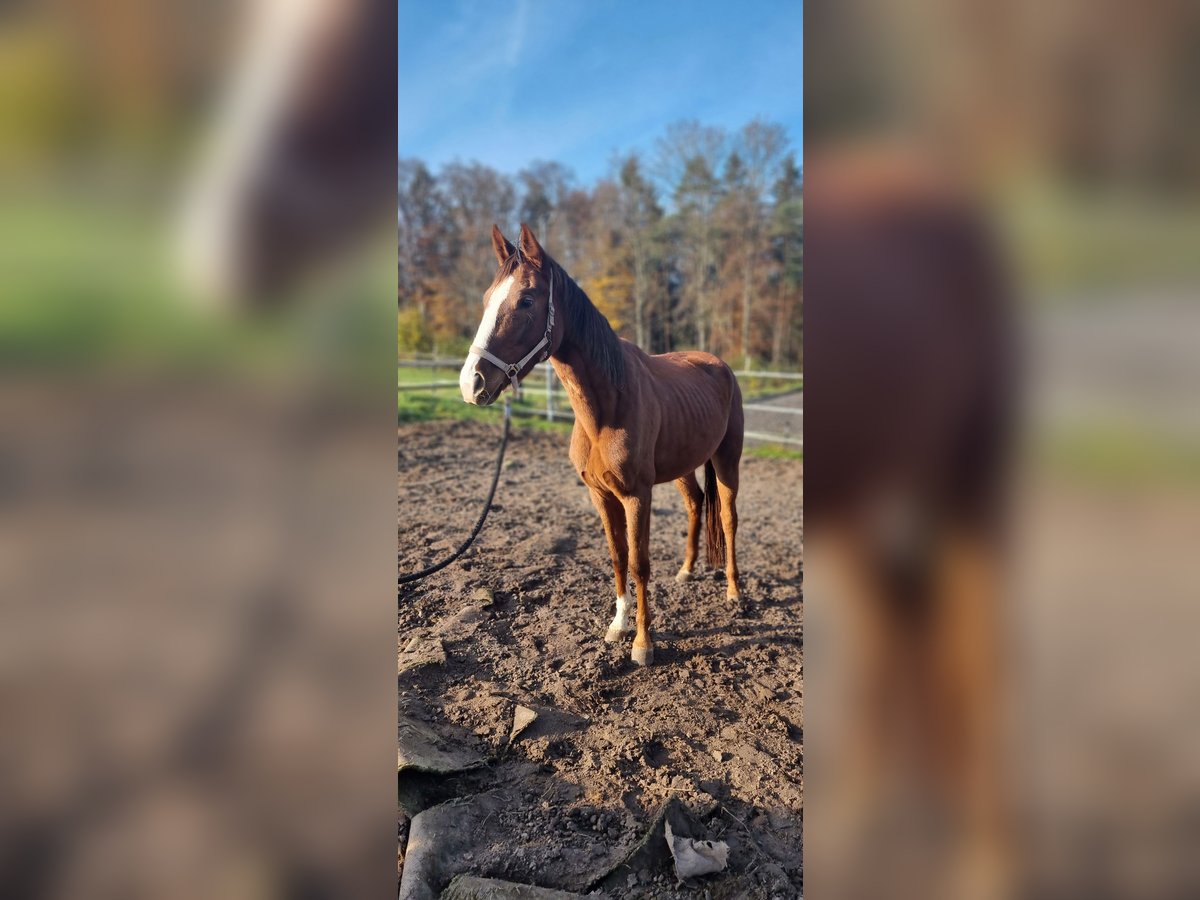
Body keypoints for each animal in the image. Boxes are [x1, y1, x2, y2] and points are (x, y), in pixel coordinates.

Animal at [458, 222, 739, 667]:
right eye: (487, 299)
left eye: (526, 300)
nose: (472, 383)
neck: (608, 407)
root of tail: (719, 364)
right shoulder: (601, 494)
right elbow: (617, 556)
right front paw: (618, 626)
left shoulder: (637, 495)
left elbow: (639, 563)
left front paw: (643, 643)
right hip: (683, 466)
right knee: (696, 504)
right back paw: (687, 571)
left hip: (728, 460)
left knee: (728, 519)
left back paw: (734, 593)